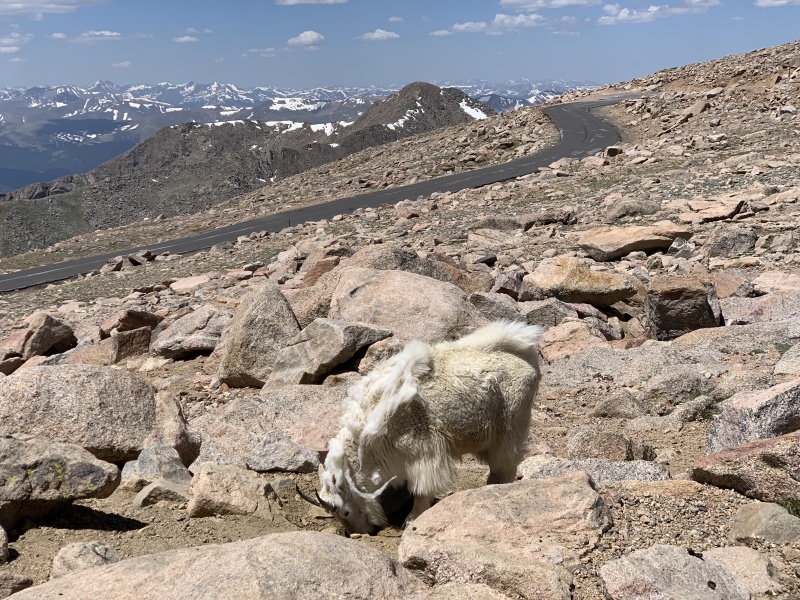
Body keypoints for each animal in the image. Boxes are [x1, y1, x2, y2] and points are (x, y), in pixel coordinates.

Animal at [297, 320, 543, 536]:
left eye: (345, 511)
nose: (359, 533)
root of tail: (529, 361)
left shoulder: (422, 450)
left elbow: (422, 488)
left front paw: (411, 519)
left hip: (512, 427)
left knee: (506, 465)